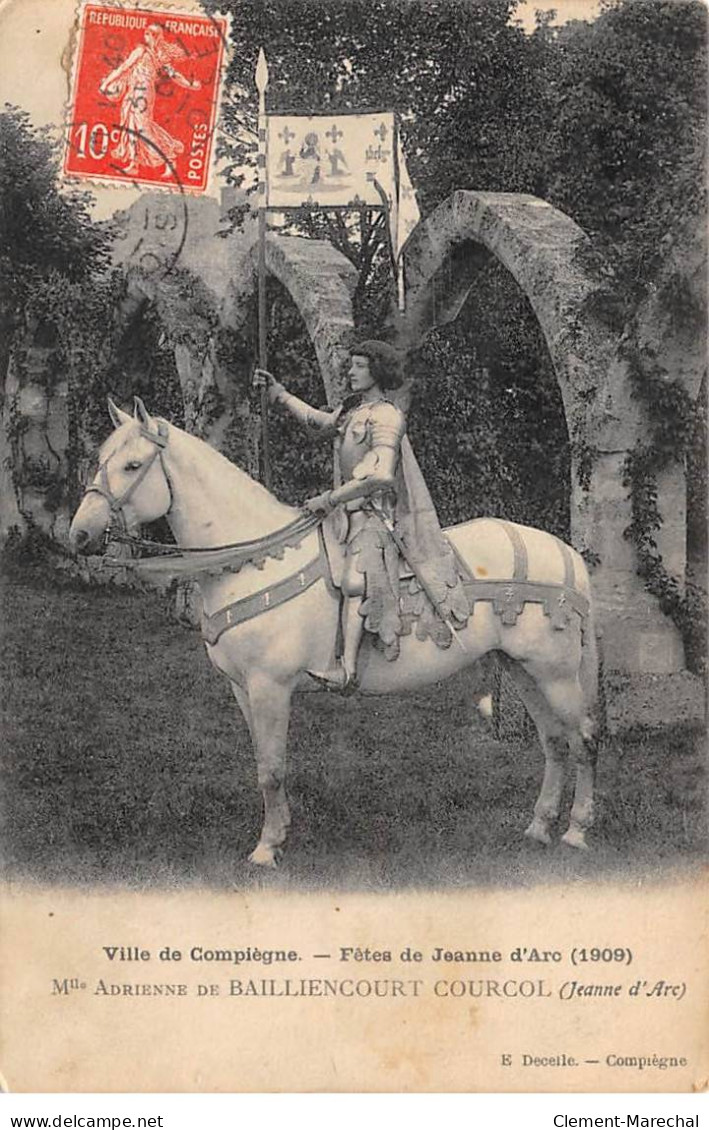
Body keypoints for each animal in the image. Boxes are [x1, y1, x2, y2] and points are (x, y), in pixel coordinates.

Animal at [70, 402, 597, 867]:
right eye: (101, 459)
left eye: (132, 464)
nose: (79, 535)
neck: (251, 560)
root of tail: (569, 555)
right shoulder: (242, 688)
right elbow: (263, 762)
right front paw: (279, 833)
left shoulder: (270, 686)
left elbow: (272, 769)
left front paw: (266, 849)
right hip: (522, 670)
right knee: (554, 742)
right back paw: (539, 828)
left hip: (555, 674)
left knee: (584, 739)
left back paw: (575, 832)